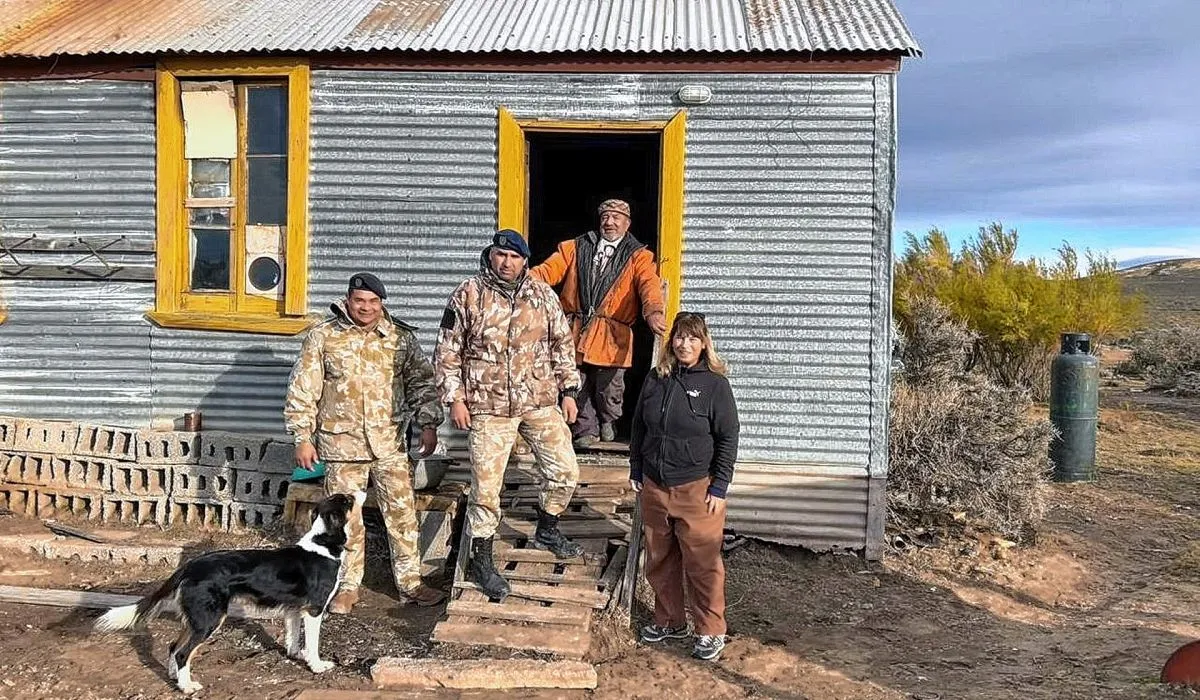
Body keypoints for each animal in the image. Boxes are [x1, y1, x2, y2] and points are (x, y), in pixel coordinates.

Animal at [94, 492, 360, 696]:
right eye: (347, 501)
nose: (356, 492)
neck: (321, 543)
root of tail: (189, 566)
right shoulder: (314, 610)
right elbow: (313, 644)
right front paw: (317, 666)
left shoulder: (294, 610)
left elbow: (293, 639)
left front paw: (295, 656)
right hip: (209, 620)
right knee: (182, 654)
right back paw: (187, 687)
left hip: (195, 620)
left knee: (173, 648)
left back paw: (176, 679)